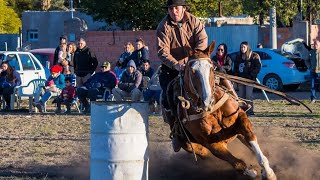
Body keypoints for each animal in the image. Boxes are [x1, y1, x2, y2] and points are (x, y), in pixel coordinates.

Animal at [166, 41, 276, 179]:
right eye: (192, 71)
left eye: (211, 68)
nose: (208, 101)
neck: (212, 111)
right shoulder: (212, 144)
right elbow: (238, 164)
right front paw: (252, 172)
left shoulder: (240, 117)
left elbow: (250, 137)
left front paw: (268, 172)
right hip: (189, 145)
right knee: (203, 153)